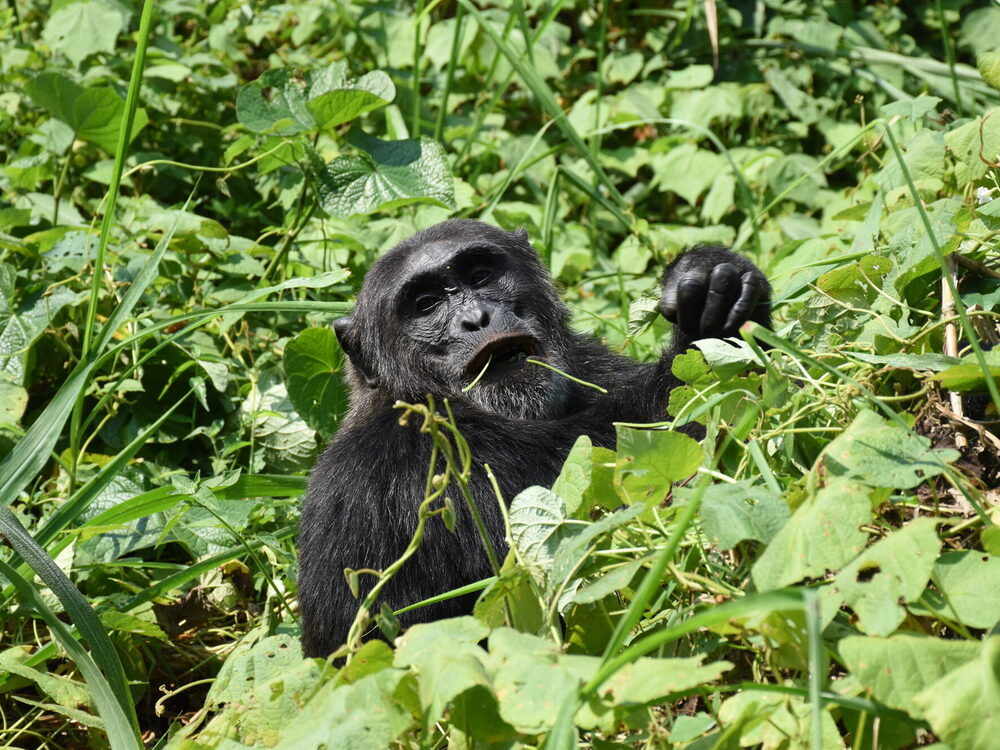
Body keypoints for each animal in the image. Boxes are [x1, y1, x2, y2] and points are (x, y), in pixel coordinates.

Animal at [297, 219, 771, 657]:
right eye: (426, 304)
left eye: (481, 276)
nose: (476, 318)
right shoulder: (430, 463)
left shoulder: (593, 363)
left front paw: (711, 279)